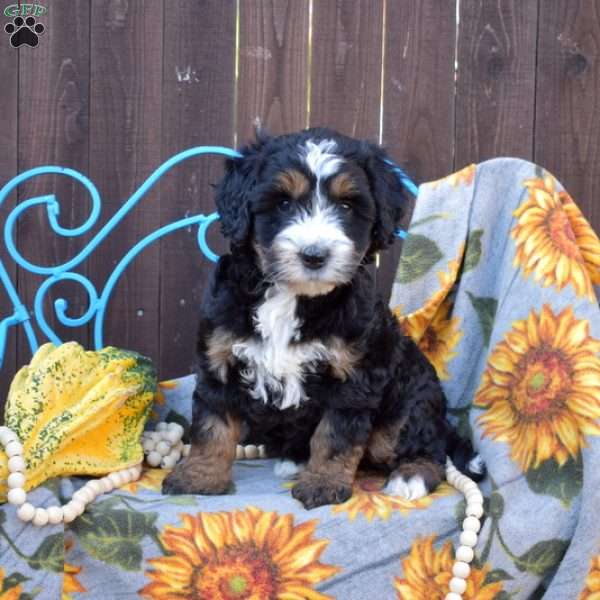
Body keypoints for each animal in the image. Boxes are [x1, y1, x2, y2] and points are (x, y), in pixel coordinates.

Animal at [163, 129, 482, 508]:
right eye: (283, 204)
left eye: (346, 206)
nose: (314, 256)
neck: (292, 298)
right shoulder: (219, 358)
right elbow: (212, 425)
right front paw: (199, 477)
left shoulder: (354, 376)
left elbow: (335, 437)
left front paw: (323, 484)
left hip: (408, 406)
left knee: (426, 448)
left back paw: (411, 475)